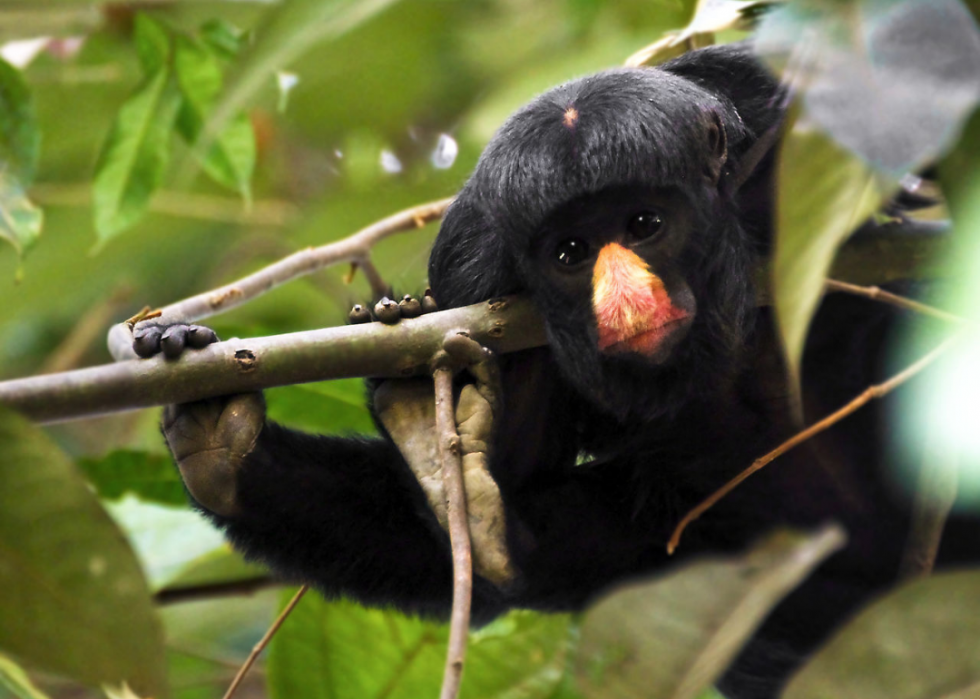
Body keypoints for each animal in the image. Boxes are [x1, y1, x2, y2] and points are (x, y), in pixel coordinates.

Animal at [134, 45, 976, 699]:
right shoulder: (474, 270)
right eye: (570, 254)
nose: (625, 301)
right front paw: (217, 416)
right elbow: (470, 571)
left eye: (645, 224)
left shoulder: (769, 109)